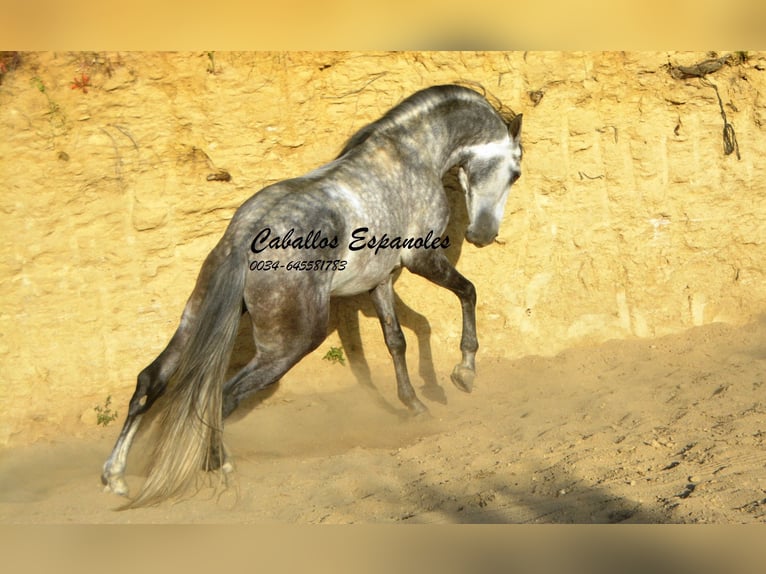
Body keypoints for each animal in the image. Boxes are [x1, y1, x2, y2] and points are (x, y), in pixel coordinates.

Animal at [100, 82, 520, 508]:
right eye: (516, 173)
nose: (483, 234)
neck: (411, 155)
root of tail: (246, 232)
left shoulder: (381, 280)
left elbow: (396, 340)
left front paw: (415, 405)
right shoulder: (421, 258)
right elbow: (467, 293)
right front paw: (464, 372)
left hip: (195, 318)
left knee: (150, 380)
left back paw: (115, 477)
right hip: (292, 343)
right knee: (223, 396)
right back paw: (220, 465)